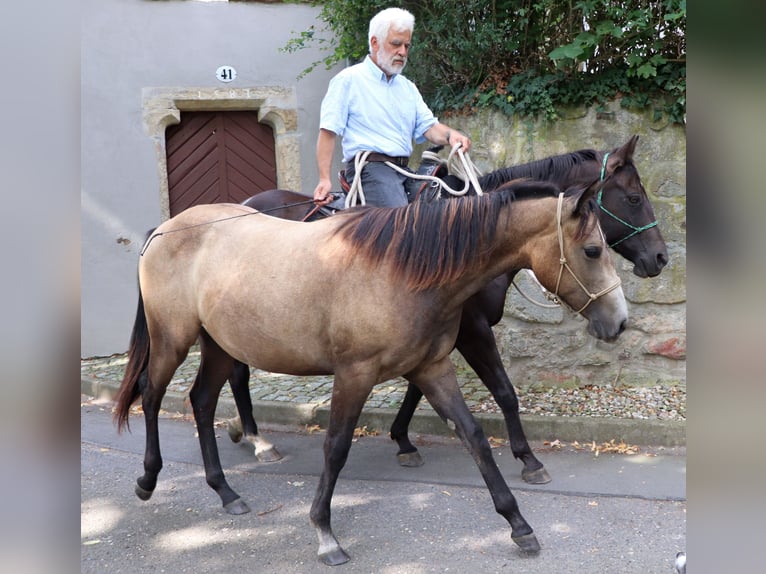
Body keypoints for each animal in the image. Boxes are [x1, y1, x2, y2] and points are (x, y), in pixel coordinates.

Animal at [115, 181, 632, 568]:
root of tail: (164, 229)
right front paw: (325, 533)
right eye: (592, 250)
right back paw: (148, 480)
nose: (620, 322)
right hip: (172, 340)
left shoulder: (431, 367)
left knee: (202, 402)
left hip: (221, 346)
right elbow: (337, 447)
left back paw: (226, 492)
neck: (403, 269)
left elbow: (474, 437)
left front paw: (518, 524)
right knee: (152, 395)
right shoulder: (355, 375)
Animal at [224, 136, 664, 486]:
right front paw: (528, 458)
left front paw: (402, 439)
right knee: (238, 371)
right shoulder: (472, 330)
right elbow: (504, 392)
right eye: (634, 198)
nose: (660, 257)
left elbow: (419, 388)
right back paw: (255, 437)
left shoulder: (436, 336)